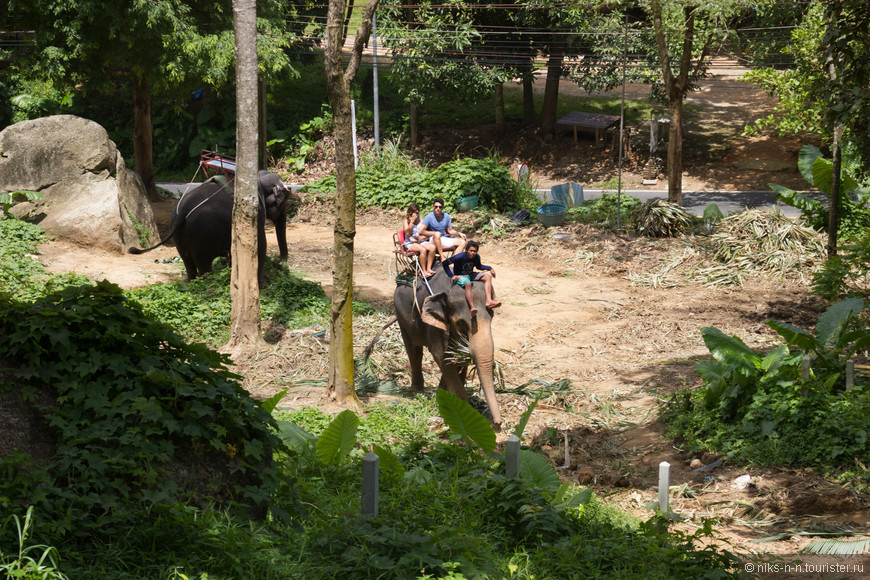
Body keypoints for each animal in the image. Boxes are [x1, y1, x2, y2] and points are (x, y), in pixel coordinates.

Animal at [396, 270, 504, 426]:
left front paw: (446, 397)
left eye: (492, 317)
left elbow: (459, 357)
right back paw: (417, 391)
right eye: (460, 323)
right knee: (414, 350)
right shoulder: (434, 325)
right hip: (401, 318)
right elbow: (441, 355)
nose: (497, 424)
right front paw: (464, 412)